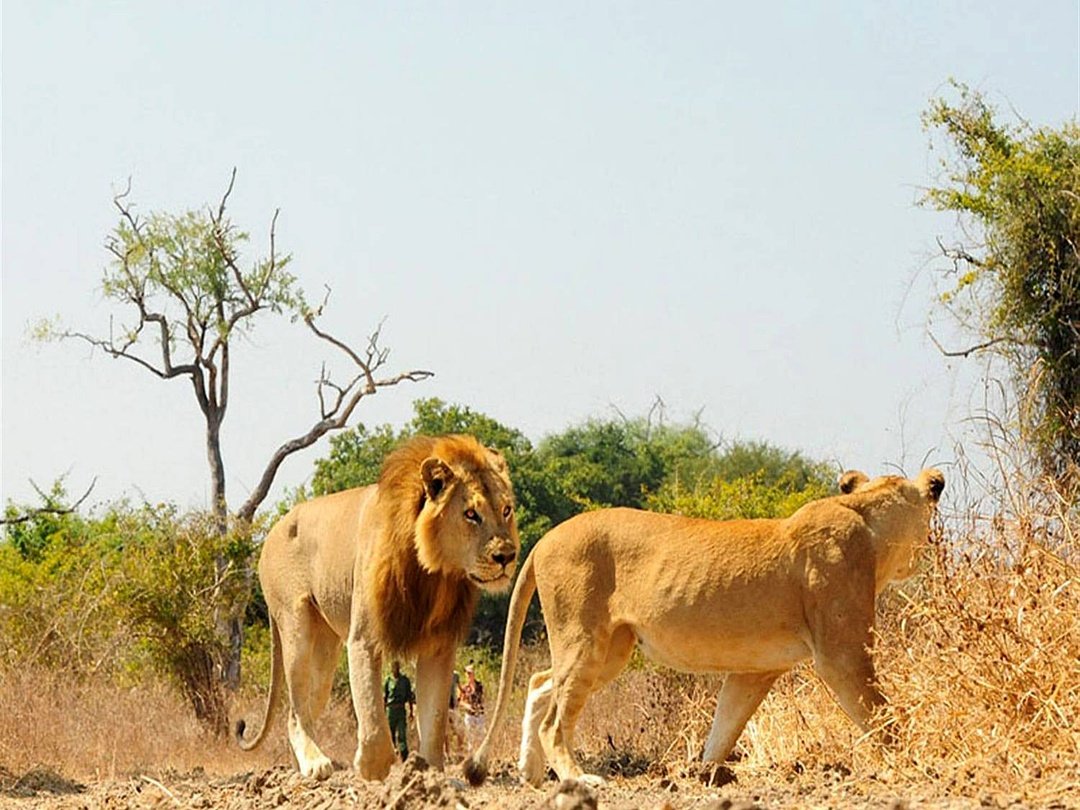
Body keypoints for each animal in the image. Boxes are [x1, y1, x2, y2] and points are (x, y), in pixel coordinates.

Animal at [235, 434, 520, 780]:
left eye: (506, 510)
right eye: (470, 514)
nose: (506, 556)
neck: (432, 573)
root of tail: (274, 529)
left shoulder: (438, 646)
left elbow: (434, 719)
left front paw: (429, 775)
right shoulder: (364, 639)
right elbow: (372, 717)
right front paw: (371, 769)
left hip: (324, 652)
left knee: (301, 708)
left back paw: (300, 767)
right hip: (296, 626)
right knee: (296, 712)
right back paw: (316, 764)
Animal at [465, 467, 944, 786]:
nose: (932, 550)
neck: (868, 519)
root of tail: (543, 539)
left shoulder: (755, 670)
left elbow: (726, 725)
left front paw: (704, 773)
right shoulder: (842, 652)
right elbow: (881, 715)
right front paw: (917, 764)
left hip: (611, 649)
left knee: (539, 682)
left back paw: (530, 773)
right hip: (585, 640)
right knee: (554, 718)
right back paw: (577, 780)